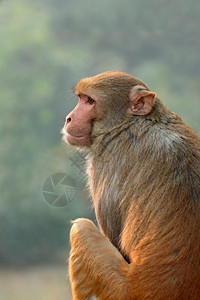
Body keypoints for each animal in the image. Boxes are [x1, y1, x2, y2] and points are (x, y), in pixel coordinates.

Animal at [62, 71, 200, 298]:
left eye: (90, 101)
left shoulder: (106, 159)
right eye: (81, 98)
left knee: (81, 229)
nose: (69, 118)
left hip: (118, 290)